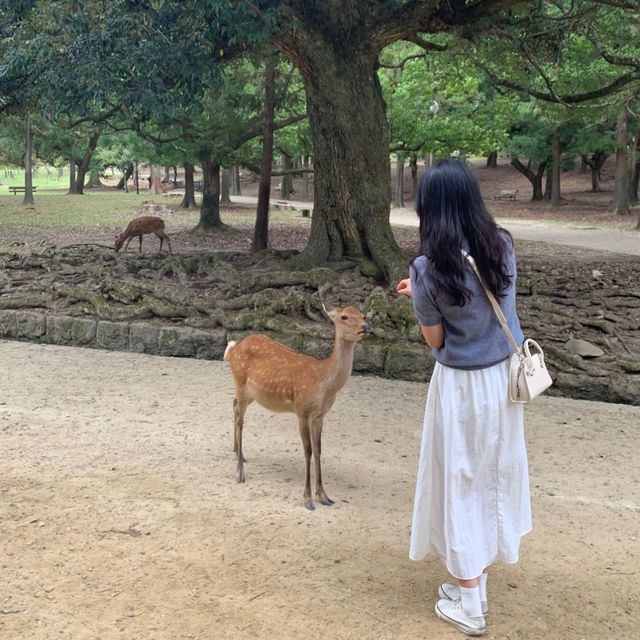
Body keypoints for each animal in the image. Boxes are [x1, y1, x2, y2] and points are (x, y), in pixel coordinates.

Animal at [222, 304, 370, 510]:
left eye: (363, 315)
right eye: (344, 317)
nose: (365, 327)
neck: (323, 383)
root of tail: (233, 348)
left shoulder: (320, 415)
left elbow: (318, 450)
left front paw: (324, 496)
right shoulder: (302, 410)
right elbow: (307, 451)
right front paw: (308, 499)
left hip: (252, 393)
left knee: (233, 404)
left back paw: (238, 453)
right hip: (241, 382)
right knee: (240, 421)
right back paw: (240, 473)